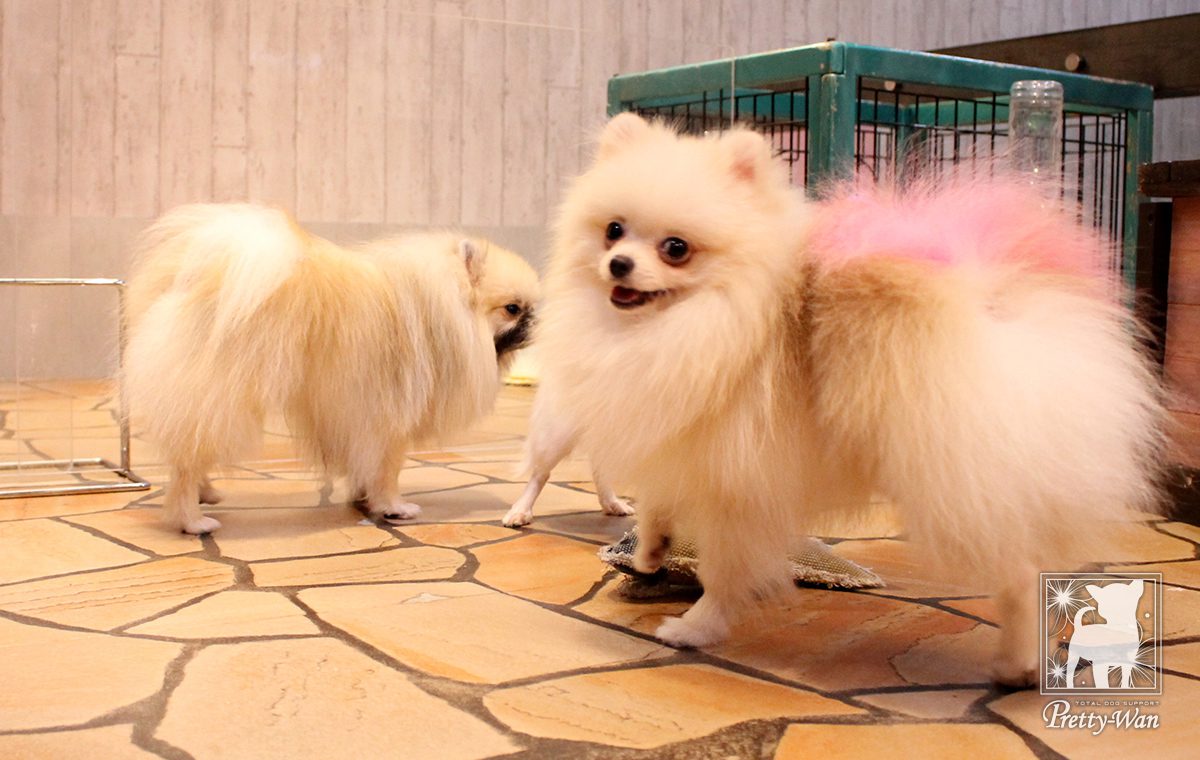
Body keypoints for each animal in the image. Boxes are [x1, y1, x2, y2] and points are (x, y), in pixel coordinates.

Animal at [123, 203, 539, 535]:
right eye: (512, 309)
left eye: (531, 306)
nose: (537, 319)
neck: (442, 310)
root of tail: (196, 275)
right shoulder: (391, 420)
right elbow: (388, 470)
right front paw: (394, 507)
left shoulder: (359, 418)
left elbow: (365, 466)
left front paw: (363, 497)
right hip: (225, 398)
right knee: (185, 464)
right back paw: (192, 520)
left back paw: (206, 492)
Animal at [534, 113, 1163, 686]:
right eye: (614, 230)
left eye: (675, 248)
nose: (618, 264)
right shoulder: (688, 440)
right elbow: (660, 502)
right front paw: (649, 551)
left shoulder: (740, 477)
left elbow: (724, 569)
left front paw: (696, 628)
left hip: (953, 487)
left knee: (1022, 573)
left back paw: (1019, 664)